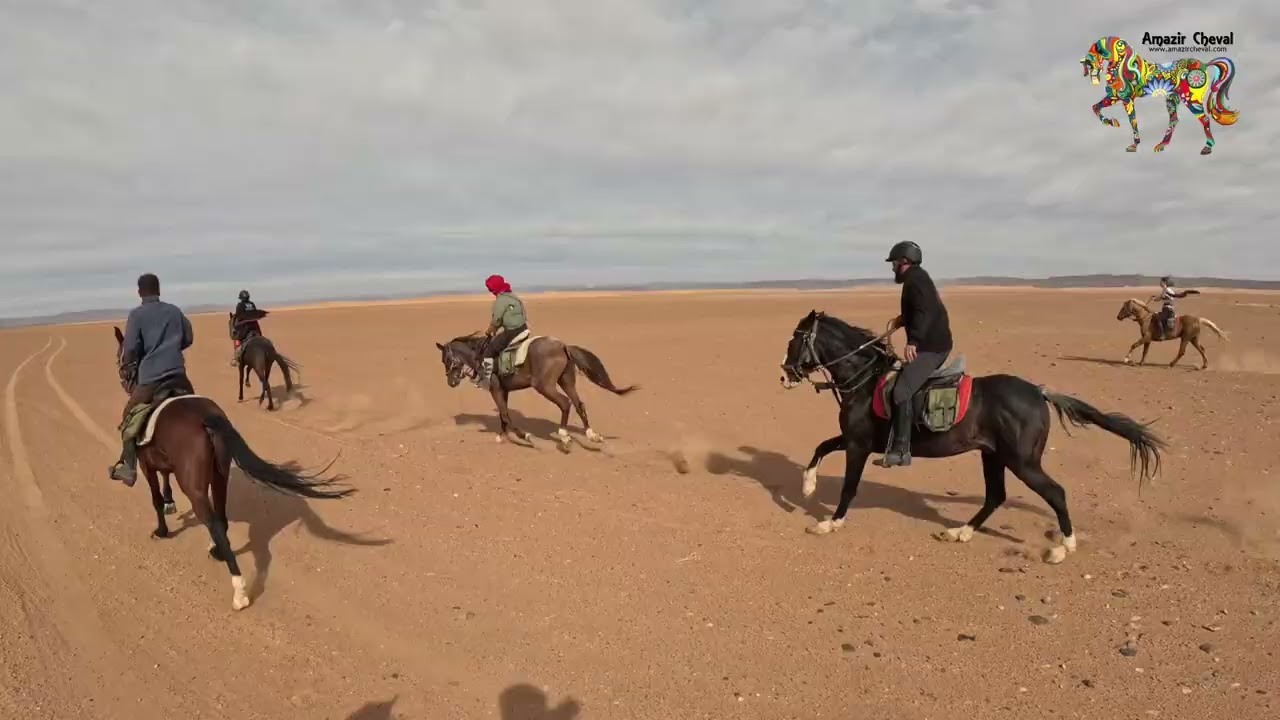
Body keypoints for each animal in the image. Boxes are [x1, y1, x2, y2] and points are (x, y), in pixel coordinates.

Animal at [113, 326, 351, 611]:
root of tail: (207, 418)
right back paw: (219, 553)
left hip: (195, 486)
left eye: (121, 354)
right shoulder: (163, 463)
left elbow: (156, 499)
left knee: (215, 523)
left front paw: (161, 530)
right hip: (219, 475)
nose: (123, 378)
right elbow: (165, 480)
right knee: (221, 517)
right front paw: (171, 504)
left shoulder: (146, 465)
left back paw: (239, 590)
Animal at [436, 332, 637, 450]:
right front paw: (502, 436)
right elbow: (503, 414)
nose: (450, 382)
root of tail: (563, 346)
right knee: (578, 403)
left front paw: (525, 436)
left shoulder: (495, 389)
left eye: (447, 360)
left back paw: (564, 436)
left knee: (565, 403)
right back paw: (592, 435)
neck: (479, 356)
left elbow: (505, 414)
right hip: (566, 381)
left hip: (544, 386)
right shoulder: (503, 390)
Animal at [779, 310, 1166, 564]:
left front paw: (829, 522)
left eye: (796, 339)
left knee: (1055, 492)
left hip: (1022, 461)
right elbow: (820, 447)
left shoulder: (859, 445)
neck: (865, 379)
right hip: (992, 455)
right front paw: (807, 487)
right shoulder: (853, 439)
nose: (784, 375)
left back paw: (1063, 547)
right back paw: (959, 532)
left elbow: (848, 487)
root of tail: (1038, 392)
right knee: (996, 496)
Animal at [1080, 36, 1238, 154]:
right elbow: (1096, 107)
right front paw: (1113, 122)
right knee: (1174, 120)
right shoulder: (1115, 97)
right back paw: (1161, 145)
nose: (1085, 62)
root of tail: (1204, 65)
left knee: (1204, 119)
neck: (1125, 67)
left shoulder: (1126, 99)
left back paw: (1207, 147)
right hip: (1172, 99)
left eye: (1098, 49)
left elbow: (1132, 121)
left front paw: (1134, 145)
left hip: (1191, 100)